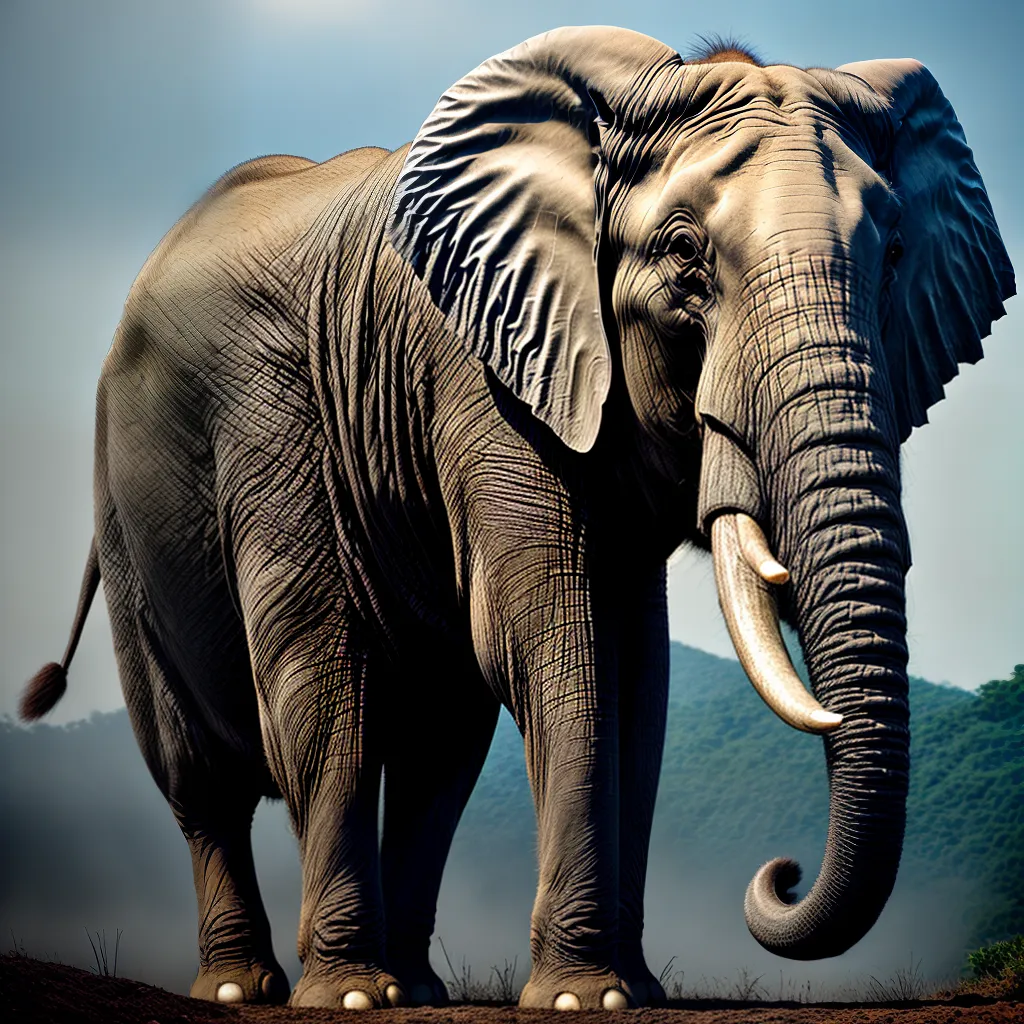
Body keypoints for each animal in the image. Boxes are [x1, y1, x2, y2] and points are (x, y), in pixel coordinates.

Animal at [22, 25, 1013, 1011]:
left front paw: (630, 990)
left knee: (435, 747)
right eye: (685, 258)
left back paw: (415, 988)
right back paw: (297, 991)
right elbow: (554, 641)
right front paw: (586, 998)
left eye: (894, 255)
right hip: (161, 488)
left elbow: (634, 675)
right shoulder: (482, 370)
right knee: (271, 732)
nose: (781, 874)